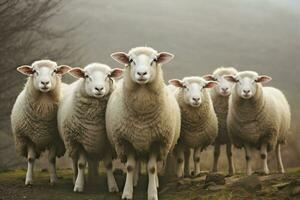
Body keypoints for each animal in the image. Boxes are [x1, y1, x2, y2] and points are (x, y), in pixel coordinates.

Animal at [57, 63, 123, 192]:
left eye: (108, 75)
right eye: (86, 76)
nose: (99, 89)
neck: (94, 124)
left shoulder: (106, 143)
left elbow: (108, 165)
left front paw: (112, 186)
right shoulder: (79, 141)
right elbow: (81, 164)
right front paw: (79, 186)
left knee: (93, 163)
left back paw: (95, 180)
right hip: (71, 143)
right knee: (74, 162)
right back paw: (76, 179)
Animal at [106, 47, 180, 200]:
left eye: (154, 60)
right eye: (130, 60)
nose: (141, 73)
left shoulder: (156, 141)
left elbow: (152, 168)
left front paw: (152, 193)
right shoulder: (127, 141)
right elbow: (130, 167)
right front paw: (127, 193)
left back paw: (155, 183)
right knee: (137, 163)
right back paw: (135, 181)